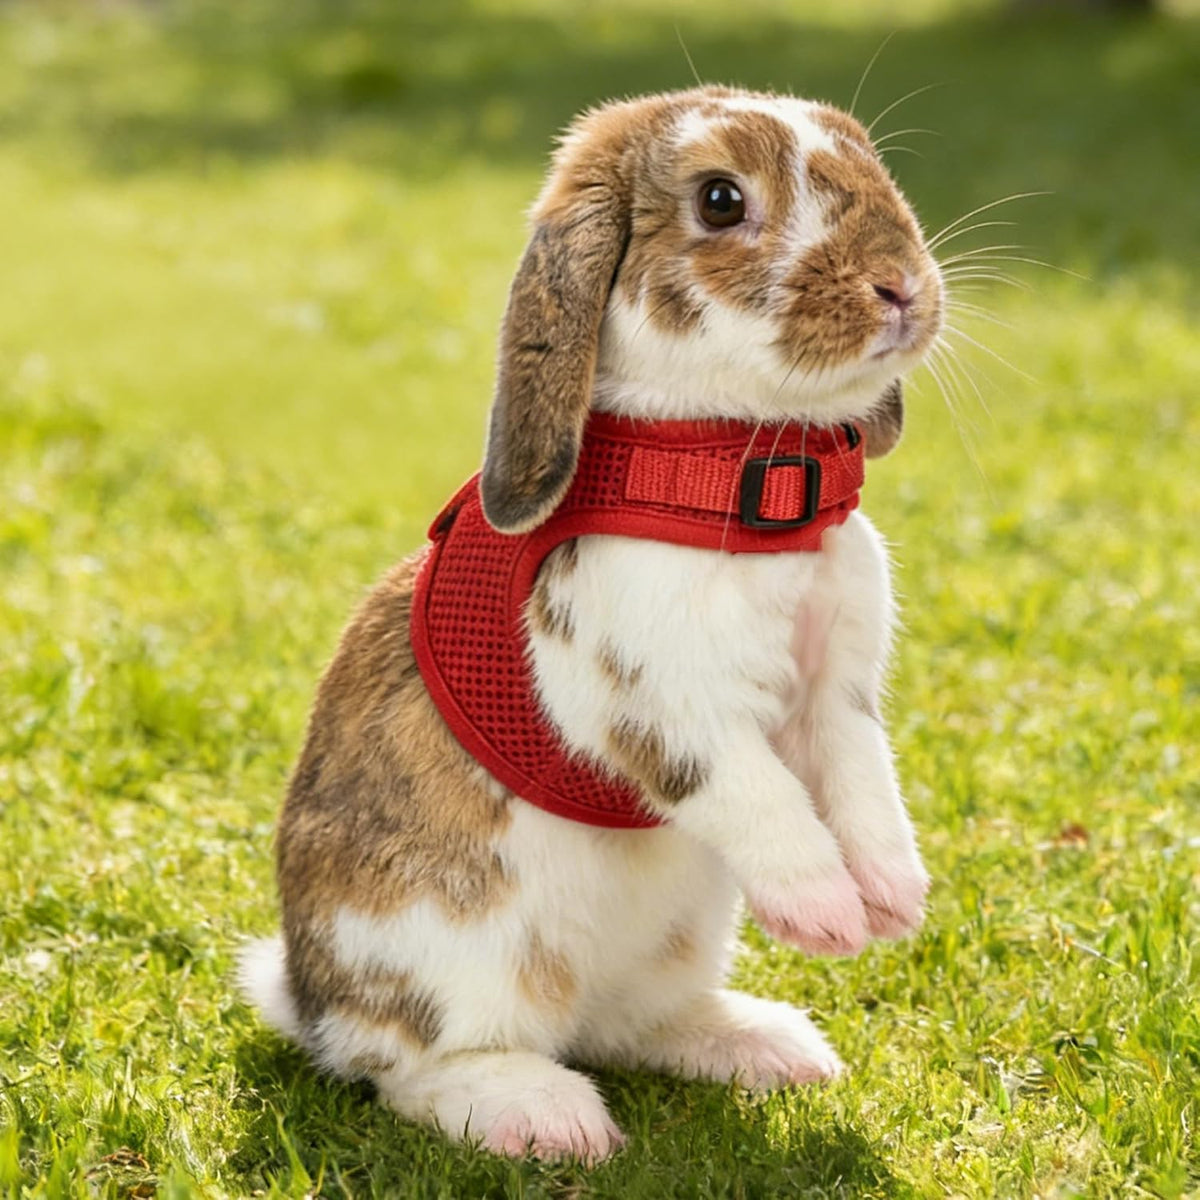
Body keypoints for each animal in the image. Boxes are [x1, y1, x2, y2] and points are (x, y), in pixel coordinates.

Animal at [240, 85, 942, 1165]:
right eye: (721, 199)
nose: (901, 287)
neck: (727, 468)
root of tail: (311, 999)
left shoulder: (837, 701)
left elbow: (864, 791)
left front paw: (896, 901)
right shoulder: (662, 704)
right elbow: (763, 801)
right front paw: (826, 916)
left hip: (679, 934)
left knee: (632, 1024)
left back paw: (770, 1046)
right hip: (460, 953)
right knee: (411, 1067)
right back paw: (545, 1117)